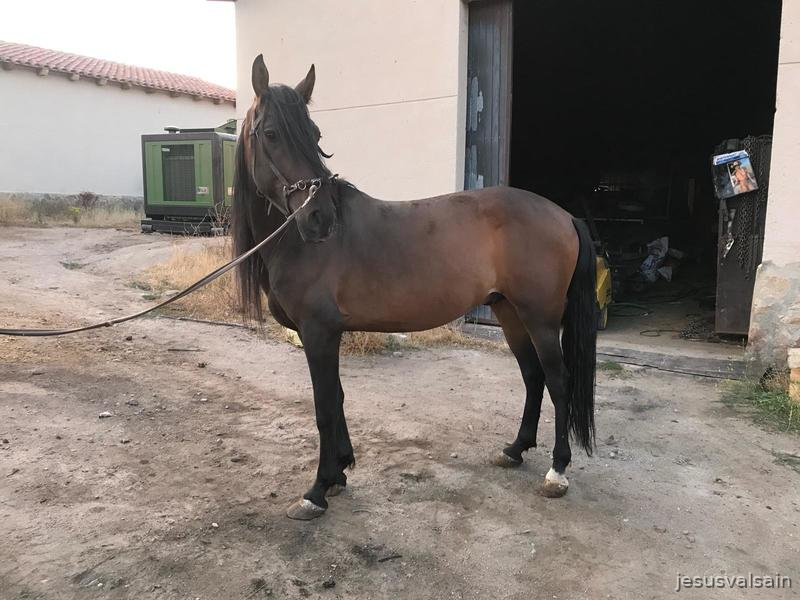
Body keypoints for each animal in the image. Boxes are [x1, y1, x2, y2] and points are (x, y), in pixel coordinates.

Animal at [232, 55, 597, 520]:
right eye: (271, 134)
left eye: (314, 135)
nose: (320, 218)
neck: (295, 243)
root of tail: (565, 215)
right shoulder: (326, 335)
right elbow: (338, 398)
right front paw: (340, 471)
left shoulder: (318, 333)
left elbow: (324, 408)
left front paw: (317, 490)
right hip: (509, 312)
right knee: (533, 376)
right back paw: (515, 450)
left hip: (542, 319)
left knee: (558, 381)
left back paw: (557, 471)